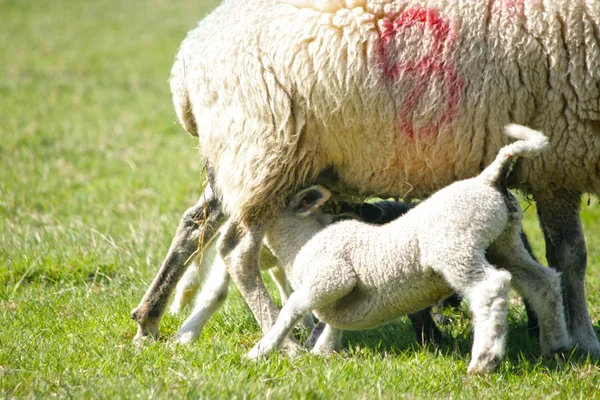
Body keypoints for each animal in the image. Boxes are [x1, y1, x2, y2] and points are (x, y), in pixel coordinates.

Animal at [246, 124, 568, 372]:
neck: (301, 243)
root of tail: (489, 178)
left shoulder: (331, 278)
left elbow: (290, 310)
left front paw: (259, 352)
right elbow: (330, 326)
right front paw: (323, 352)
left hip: (457, 247)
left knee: (491, 288)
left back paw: (485, 361)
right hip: (505, 242)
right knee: (542, 281)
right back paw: (556, 347)